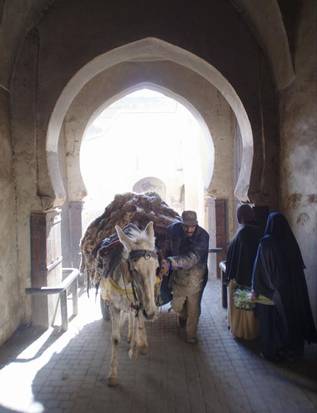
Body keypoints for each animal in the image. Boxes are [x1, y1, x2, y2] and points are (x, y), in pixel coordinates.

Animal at [99, 220, 158, 384]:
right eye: (135, 269)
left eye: (156, 267)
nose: (151, 313)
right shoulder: (114, 307)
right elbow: (115, 339)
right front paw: (112, 375)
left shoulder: (141, 303)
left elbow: (140, 324)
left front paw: (139, 346)